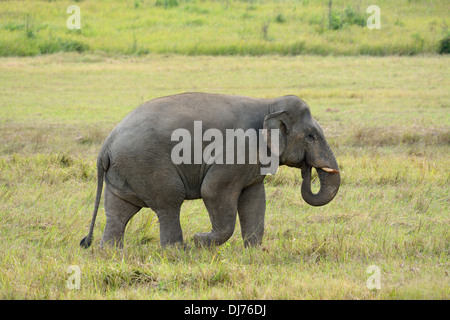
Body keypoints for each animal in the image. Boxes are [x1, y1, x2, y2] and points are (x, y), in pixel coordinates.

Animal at [81, 93, 342, 250]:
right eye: (311, 136)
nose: (307, 170)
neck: (268, 103)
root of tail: (106, 145)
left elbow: (254, 198)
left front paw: (255, 252)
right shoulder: (236, 152)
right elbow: (213, 191)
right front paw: (199, 240)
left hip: (123, 171)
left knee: (119, 210)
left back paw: (111, 253)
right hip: (147, 165)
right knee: (169, 202)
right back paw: (179, 251)